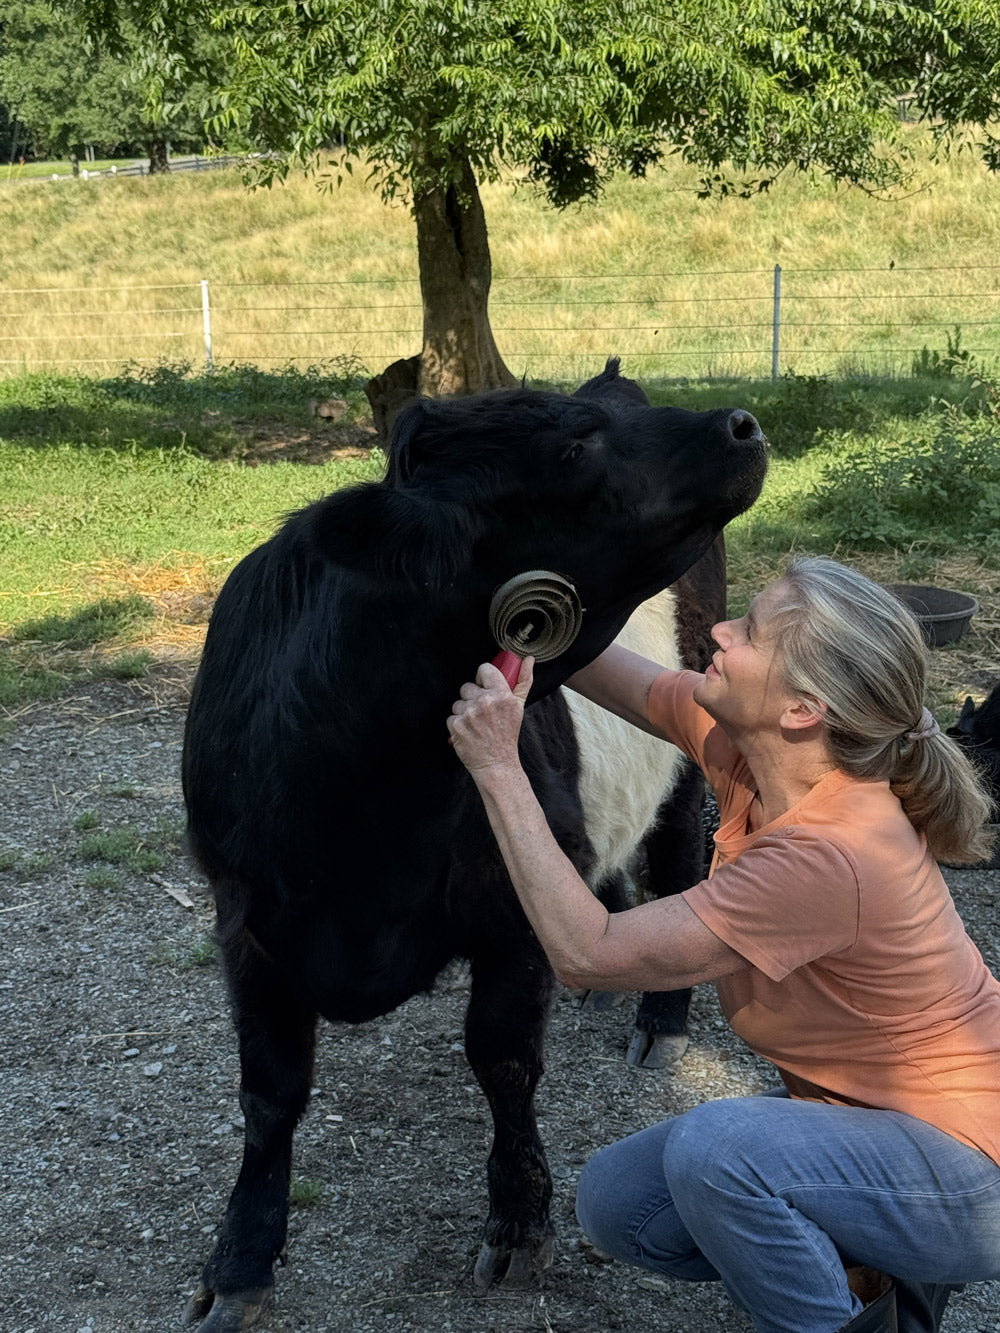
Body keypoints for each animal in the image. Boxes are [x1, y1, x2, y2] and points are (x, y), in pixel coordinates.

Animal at [180, 361, 767, 1330]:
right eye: (571, 447)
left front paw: (519, 1221)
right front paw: (238, 1259)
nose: (743, 423)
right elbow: (269, 1093)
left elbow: (502, 1058)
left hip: (689, 733)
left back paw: (660, 1021)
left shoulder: (510, 911)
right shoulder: (246, 924)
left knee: (679, 856)